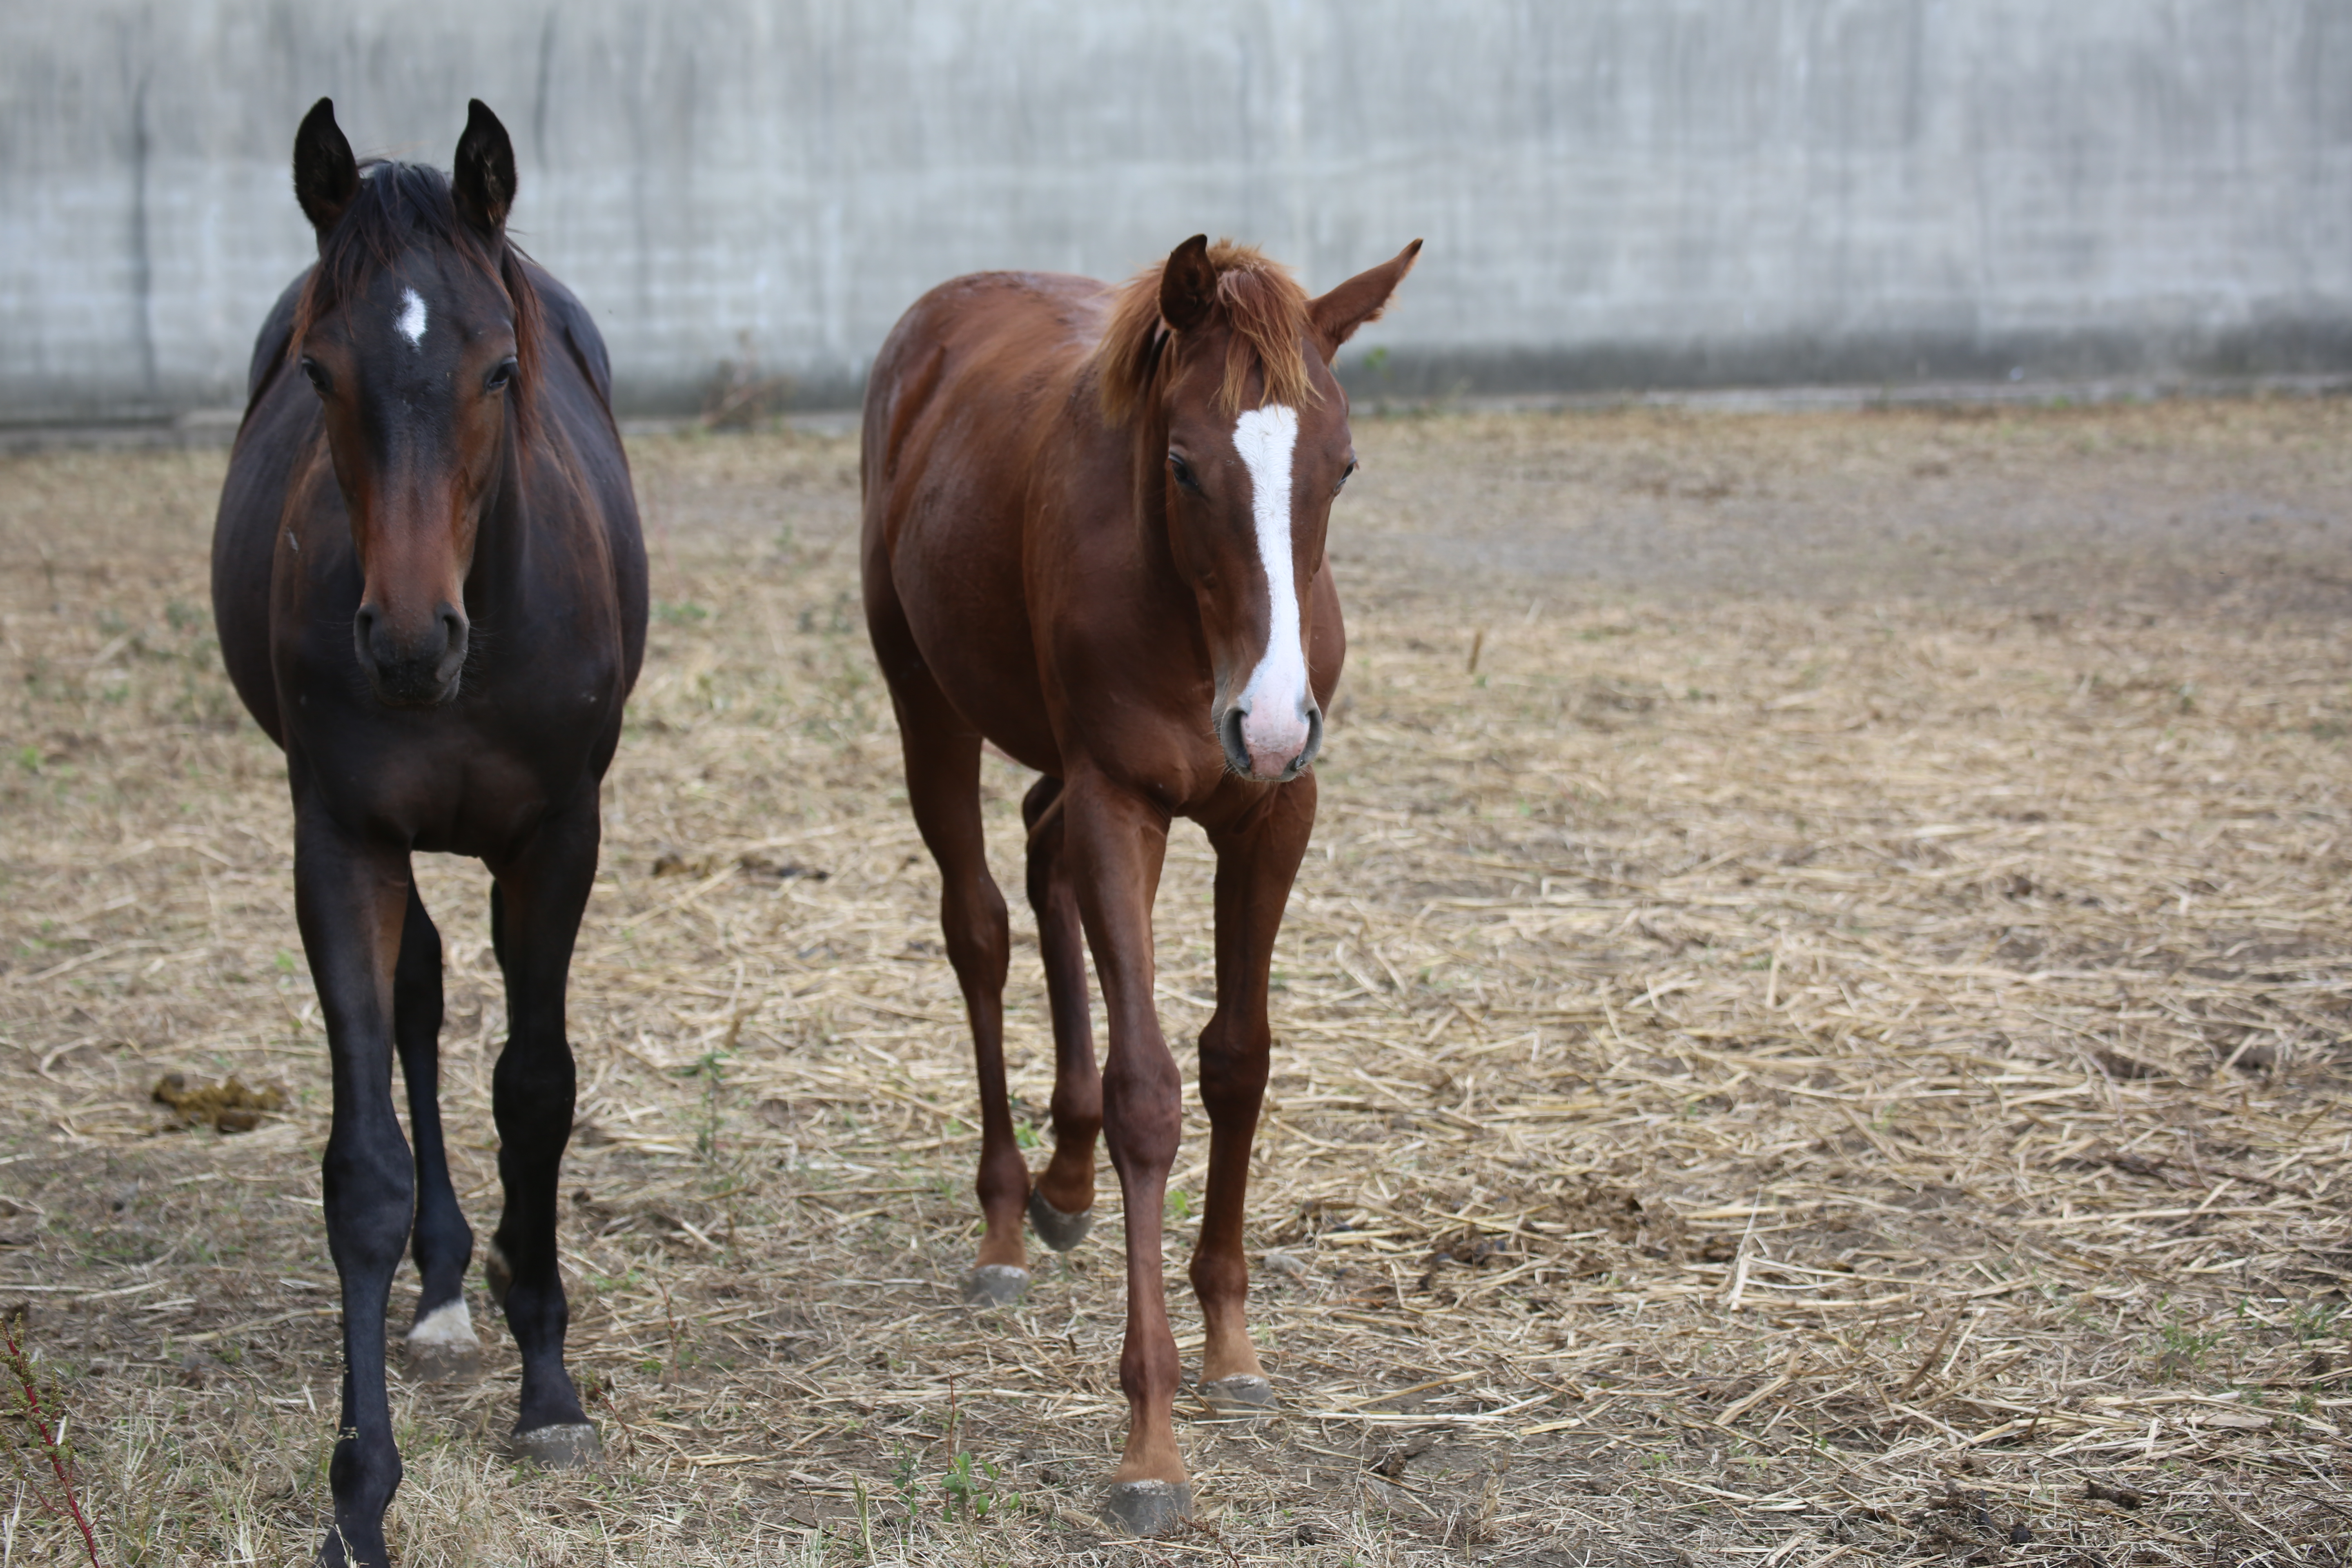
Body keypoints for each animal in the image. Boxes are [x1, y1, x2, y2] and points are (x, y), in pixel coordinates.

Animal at [213, 104, 649, 1561]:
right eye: (320, 371)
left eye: (499, 368)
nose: (409, 642)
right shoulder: (340, 839)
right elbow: (363, 1169)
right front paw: (360, 1488)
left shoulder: (557, 837)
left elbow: (536, 1090)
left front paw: (551, 1387)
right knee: (415, 1002)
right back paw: (446, 1278)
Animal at [865, 232, 1411, 1532]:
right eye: (1182, 465)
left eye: (1342, 464)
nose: (1270, 719)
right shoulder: (1125, 801)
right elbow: (1151, 1093)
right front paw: (1151, 1443)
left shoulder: (1275, 810)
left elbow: (1239, 1062)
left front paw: (1233, 1349)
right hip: (925, 699)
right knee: (980, 927)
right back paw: (1006, 1222)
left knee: (1041, 855)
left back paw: (1062, 1182)